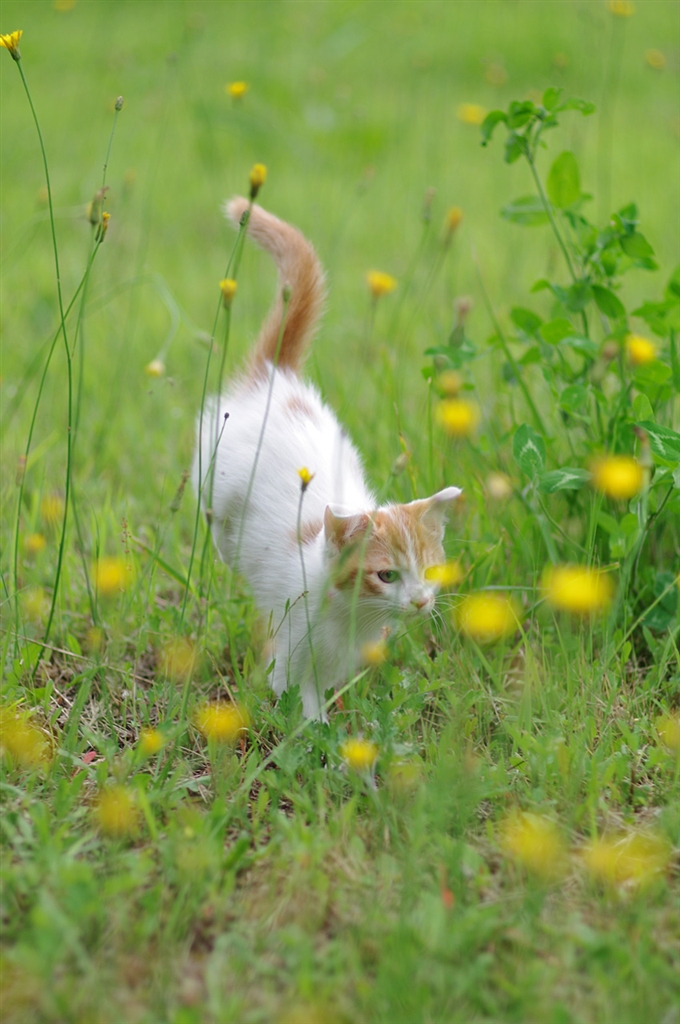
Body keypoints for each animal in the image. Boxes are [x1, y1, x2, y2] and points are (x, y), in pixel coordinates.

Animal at [193, 196, 461, 719]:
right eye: (386, 575)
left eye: (430, 570)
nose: (421, 601)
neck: (352, 615)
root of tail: (276, 377)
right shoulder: (292, 644)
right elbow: (296, 695)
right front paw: (317, 733)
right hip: (217, 467)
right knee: (216, 513)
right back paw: (226, 545)